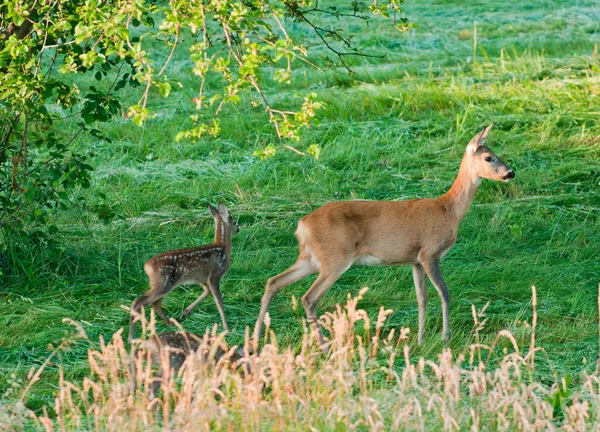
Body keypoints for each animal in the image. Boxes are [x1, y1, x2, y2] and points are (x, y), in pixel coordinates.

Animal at [130, 202, 238, 340]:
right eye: (234, 222)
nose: (238, 229)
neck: (223, 248)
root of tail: (147, 266)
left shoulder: (200, 278)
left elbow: (206, 291)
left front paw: (185, 312)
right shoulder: (215, 275)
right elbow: (219, 301)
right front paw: (226, 327)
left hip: (164, 284)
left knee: (155, 303)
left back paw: (169, 323)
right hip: (163, 283)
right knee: (139, 303)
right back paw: (132, 336)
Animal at [253, 125, 516, 352]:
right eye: (489, 157)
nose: (511, 172)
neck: (449, 210)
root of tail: (302, 225)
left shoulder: (415, 260)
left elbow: (421, 297)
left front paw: (420, 339)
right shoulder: (430, 252)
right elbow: (444, 293)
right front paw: (445, 337)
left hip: (311, 258)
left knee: (273, 281)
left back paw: (255, 340)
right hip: (335, 258)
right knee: (308, 297)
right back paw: (325, 346)